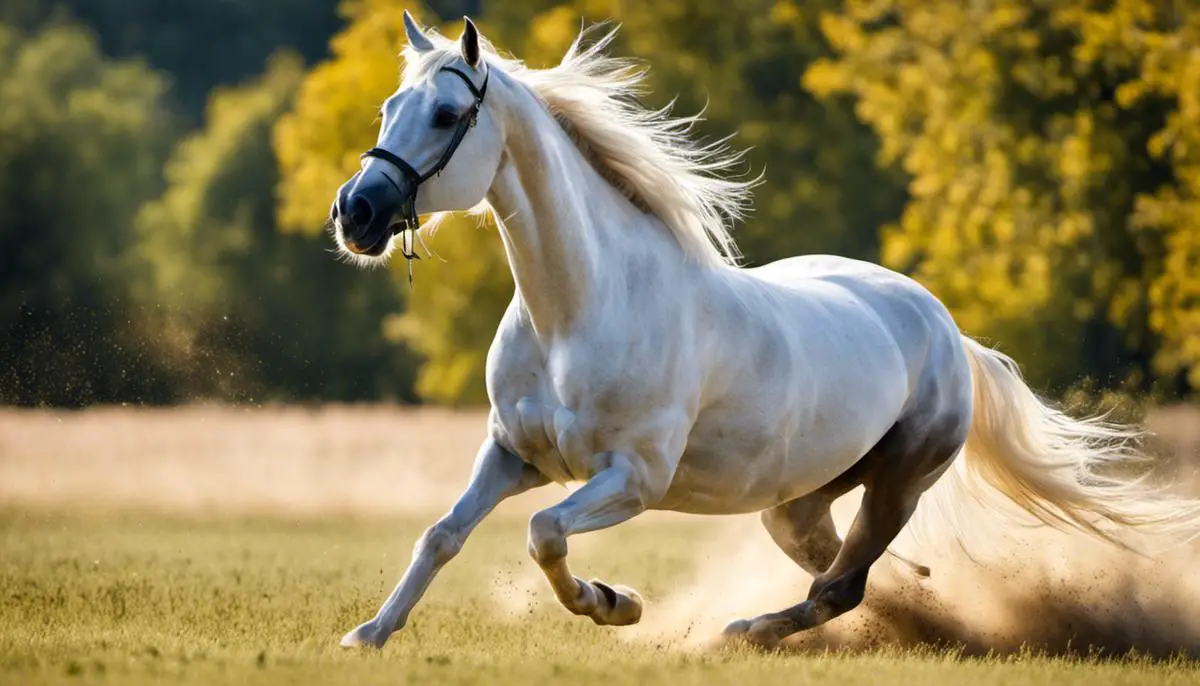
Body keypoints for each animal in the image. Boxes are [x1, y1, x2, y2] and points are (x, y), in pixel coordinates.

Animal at [328, 14, 1200, 647]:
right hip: (800, 503)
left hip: (900, 481)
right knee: (852, 571)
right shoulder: (514, 453)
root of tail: (950, 332)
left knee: (842, 584)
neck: (580, 314)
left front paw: (615, 603)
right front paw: (370, 634)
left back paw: (745, 630)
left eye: (447, 113)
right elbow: (442, 535)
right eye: (388, 108)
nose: (356, 213)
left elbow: (545, 536)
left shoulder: (631, 479)